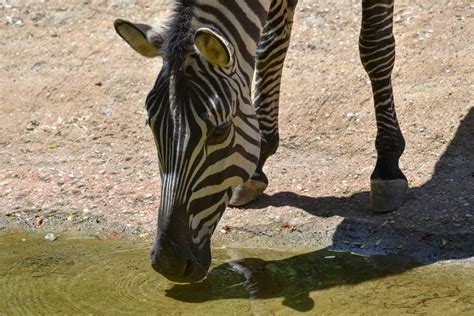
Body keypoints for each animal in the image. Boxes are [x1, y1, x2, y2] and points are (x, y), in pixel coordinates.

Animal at [114, 0, 408, 282]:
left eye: (220, 131)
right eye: (151, 125)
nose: (169, 264)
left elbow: (375, 47)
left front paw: (387, 163)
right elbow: (270, 46)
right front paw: (258, 164)